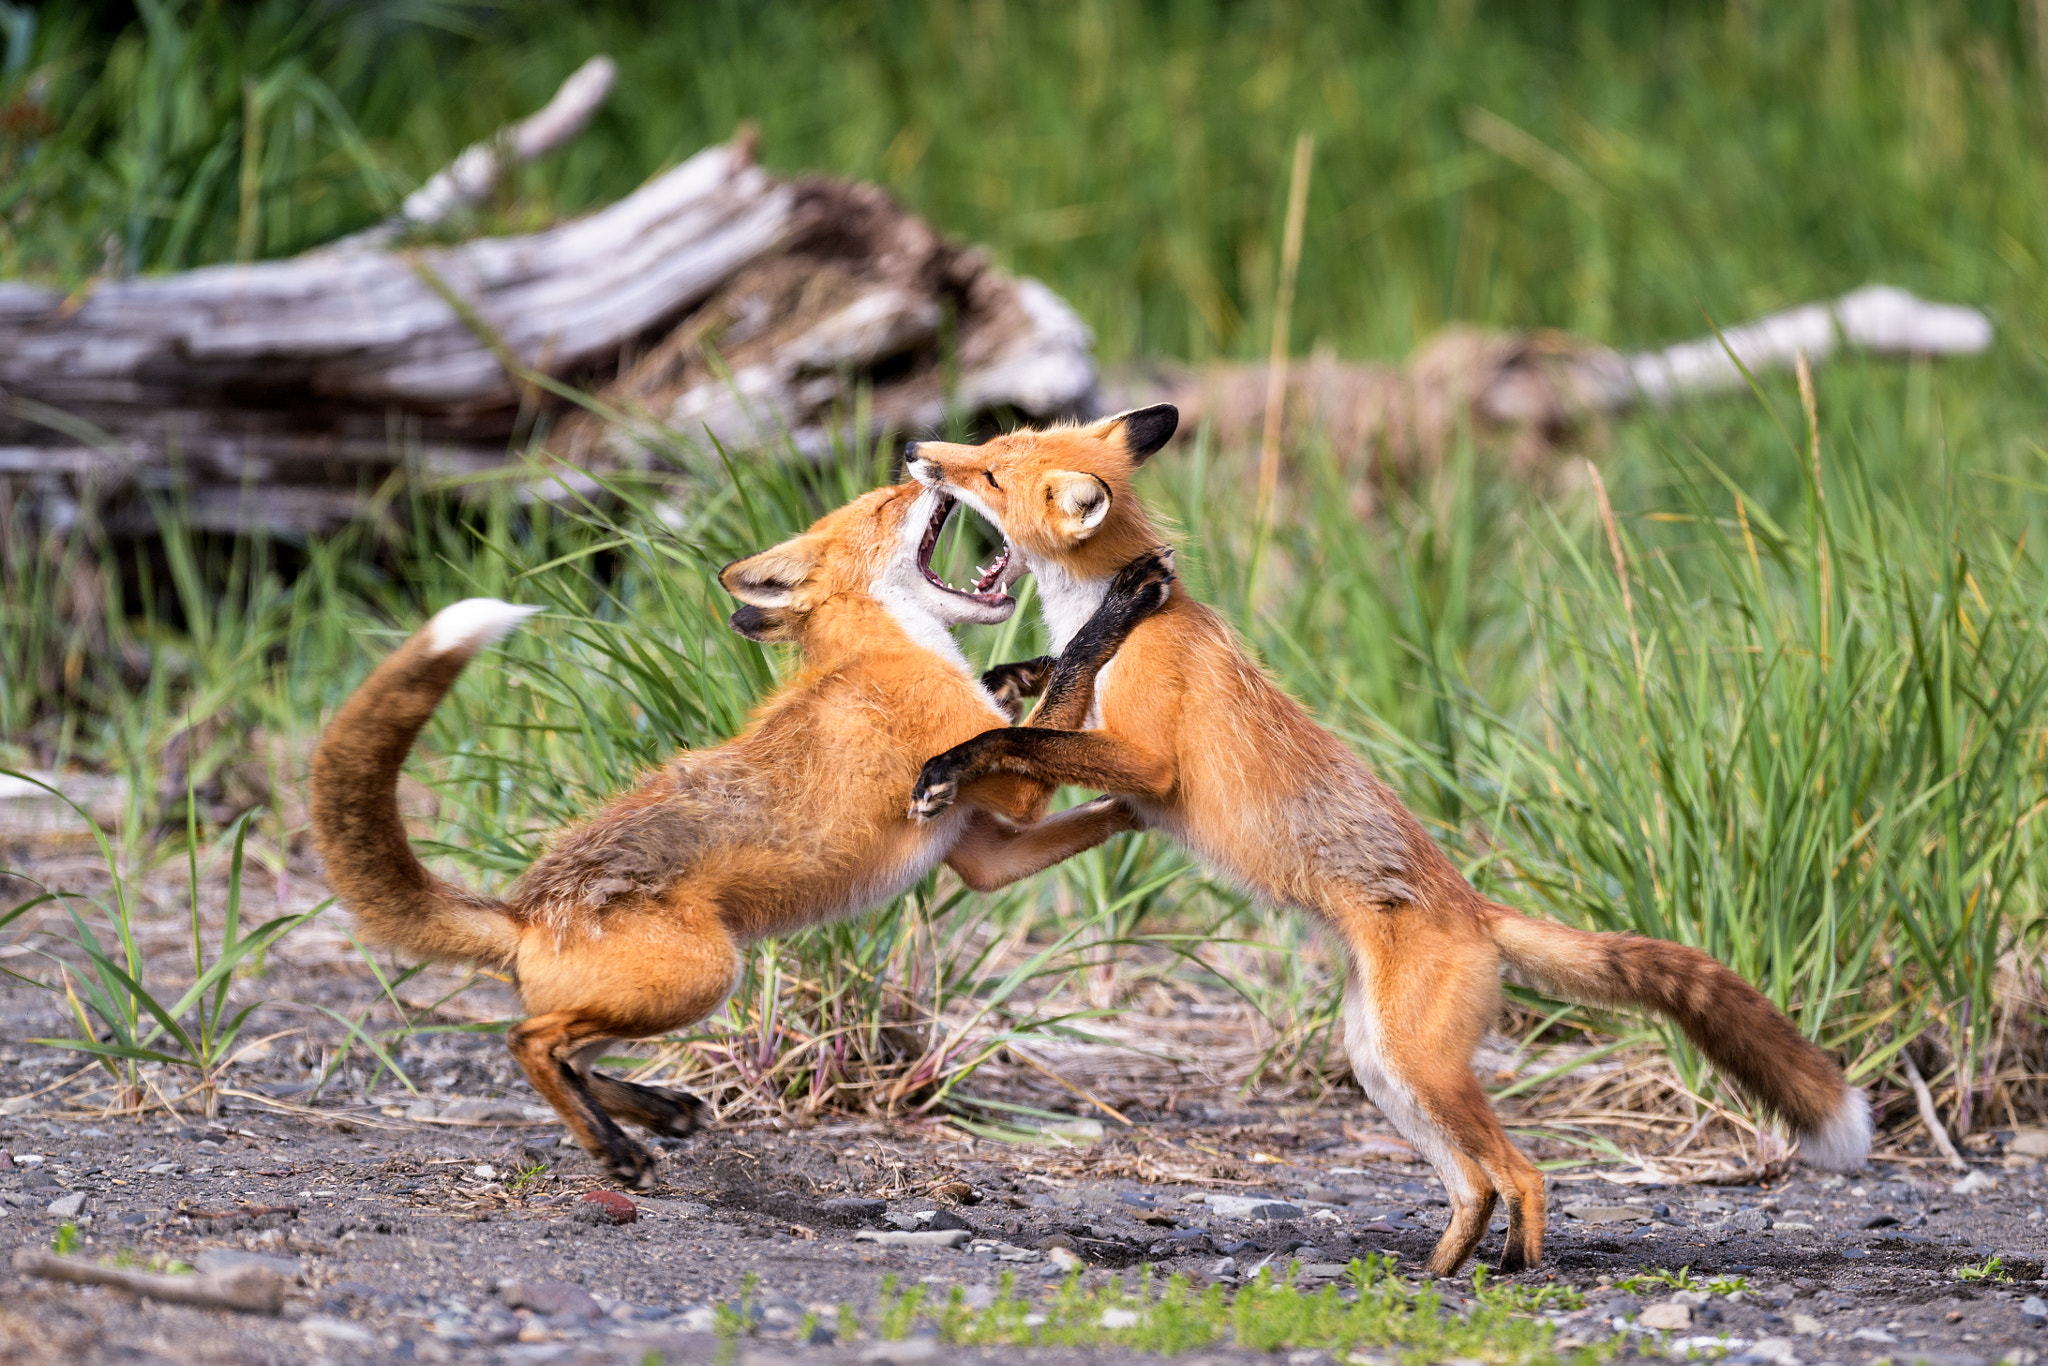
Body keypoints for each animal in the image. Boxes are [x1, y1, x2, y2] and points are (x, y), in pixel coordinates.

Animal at [301, 481, 1171, 1187]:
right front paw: (1120, 607)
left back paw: (652, 1113)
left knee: (563, 1052)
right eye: (888, 502)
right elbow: (1066, 682)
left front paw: (1148, 794)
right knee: (527, 1041)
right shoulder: (1012, 792)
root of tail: (525, 911)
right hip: (703, 976)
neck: (889, 647)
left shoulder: (984, 848)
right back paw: (617, 1148)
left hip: (650, 994)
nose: (921, 462)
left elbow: (1072, 761)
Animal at [901, 409, 1875, 1286]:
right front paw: (1006, 674)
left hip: (1422, 1070)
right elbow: (1041, 692)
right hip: (1385, 1069)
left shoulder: (1146, 761)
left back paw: (1513, 1269)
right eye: (991, 448)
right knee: (1473, 1184)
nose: (915, 451)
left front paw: (957, 754)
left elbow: (1029, 733)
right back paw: (1438, 1269)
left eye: (989, 474)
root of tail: (1475, 905)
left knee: (1522, 1173)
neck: (1118, 620)